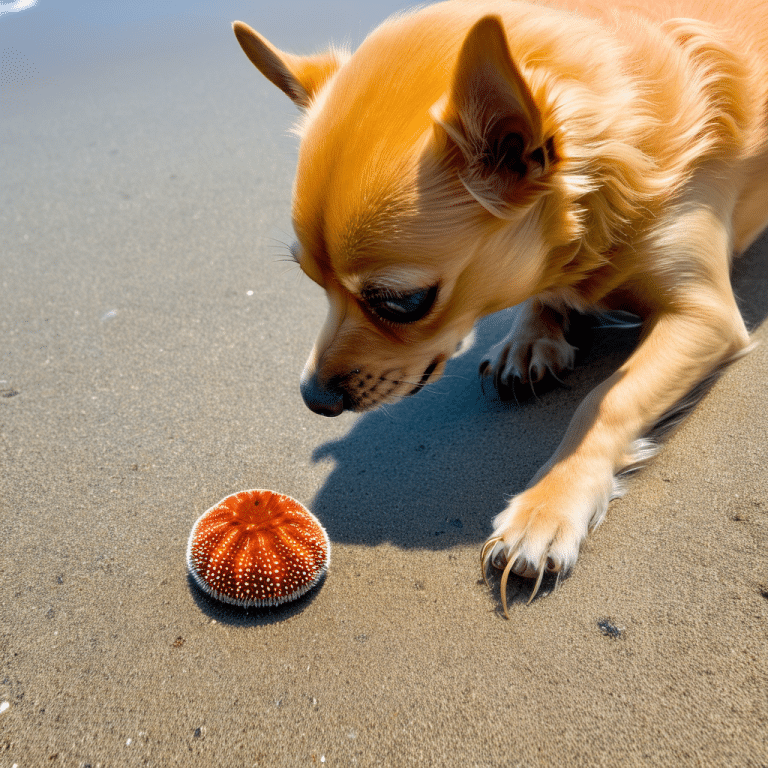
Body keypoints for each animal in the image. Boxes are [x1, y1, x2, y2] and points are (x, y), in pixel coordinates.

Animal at [234, 0, 768, 612]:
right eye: (309, 280)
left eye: (402, 303)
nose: (313, 398)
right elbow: (545, 294)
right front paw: (528, 336)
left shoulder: (705, 315)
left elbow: (607, 400)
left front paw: (547, 507)